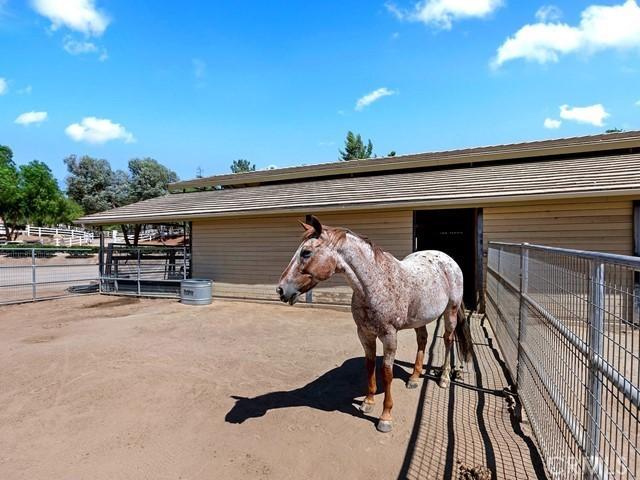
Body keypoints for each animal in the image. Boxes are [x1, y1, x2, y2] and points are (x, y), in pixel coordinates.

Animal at [278, 216, 472, 434]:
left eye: (306, 253)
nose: (281, 289)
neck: (374, 284)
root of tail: (448, 260)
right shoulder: (365, 334)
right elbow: (369, 365)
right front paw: (368, 402)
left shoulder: (389, 336)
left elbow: (386, 373)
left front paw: (385, 417)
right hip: (420, 318)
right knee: (422, 340)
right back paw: (414, 378)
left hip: (450, 312)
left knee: (448, 340)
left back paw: (444, 378)